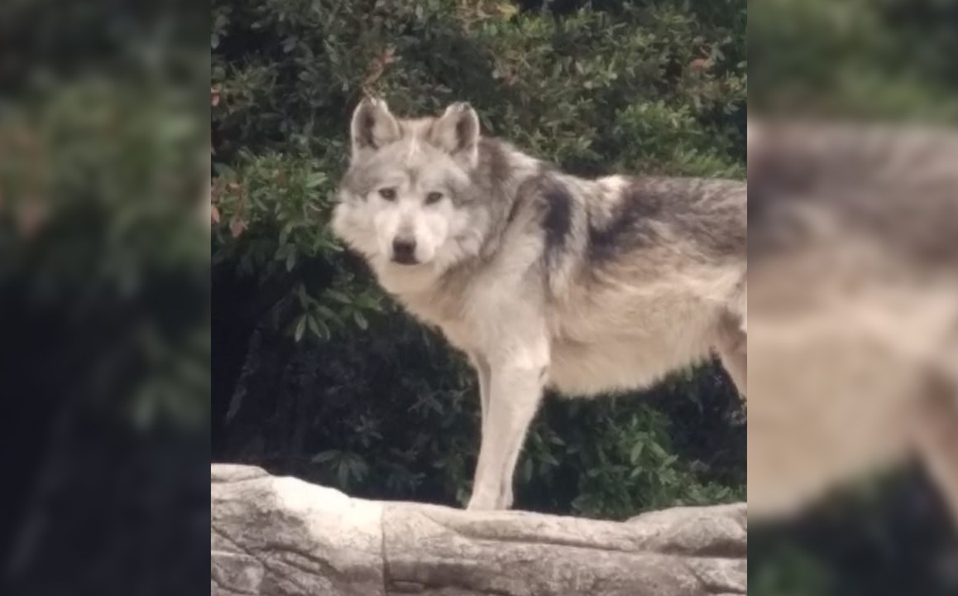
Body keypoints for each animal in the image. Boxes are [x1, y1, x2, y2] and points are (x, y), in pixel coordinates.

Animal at [331, 98, 747, 511]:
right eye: (388, 194)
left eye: (434, 197)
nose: (404, 245)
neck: (501, 228)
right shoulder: (496, 368)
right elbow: (501, 468)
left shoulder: (520, 363)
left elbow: (489, 464)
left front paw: (475, 518)